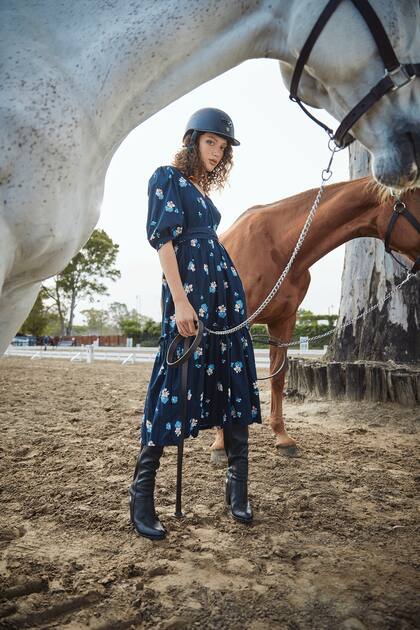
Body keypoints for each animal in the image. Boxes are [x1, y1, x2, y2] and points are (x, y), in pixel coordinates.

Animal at [210, 178, 420, 460]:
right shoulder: (234, 322)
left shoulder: (284, 320)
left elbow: (278, 377)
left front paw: (282, 438)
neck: (280, 247)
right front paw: (221, 444)